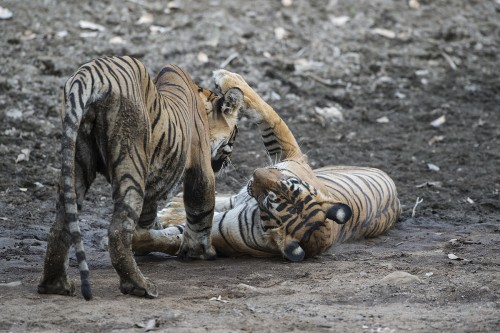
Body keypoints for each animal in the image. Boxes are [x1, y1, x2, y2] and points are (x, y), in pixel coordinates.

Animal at [37, 55, 244, 300]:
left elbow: (149, 213)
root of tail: (88, 74)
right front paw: (200, 252)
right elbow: (201, 209)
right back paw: (140, 286)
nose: (228, 162)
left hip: (76, 159)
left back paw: (55, 285)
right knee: (117, 230)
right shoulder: (200, 166)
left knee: (61, 222)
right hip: (130, 160)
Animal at [133, 70, 402, 260]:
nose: (255, 173)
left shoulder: (216, 233)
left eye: (268, 202)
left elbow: (166, 238)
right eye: (287, 183)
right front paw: (227, 77)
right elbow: (267, 111)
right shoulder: (289, 154)